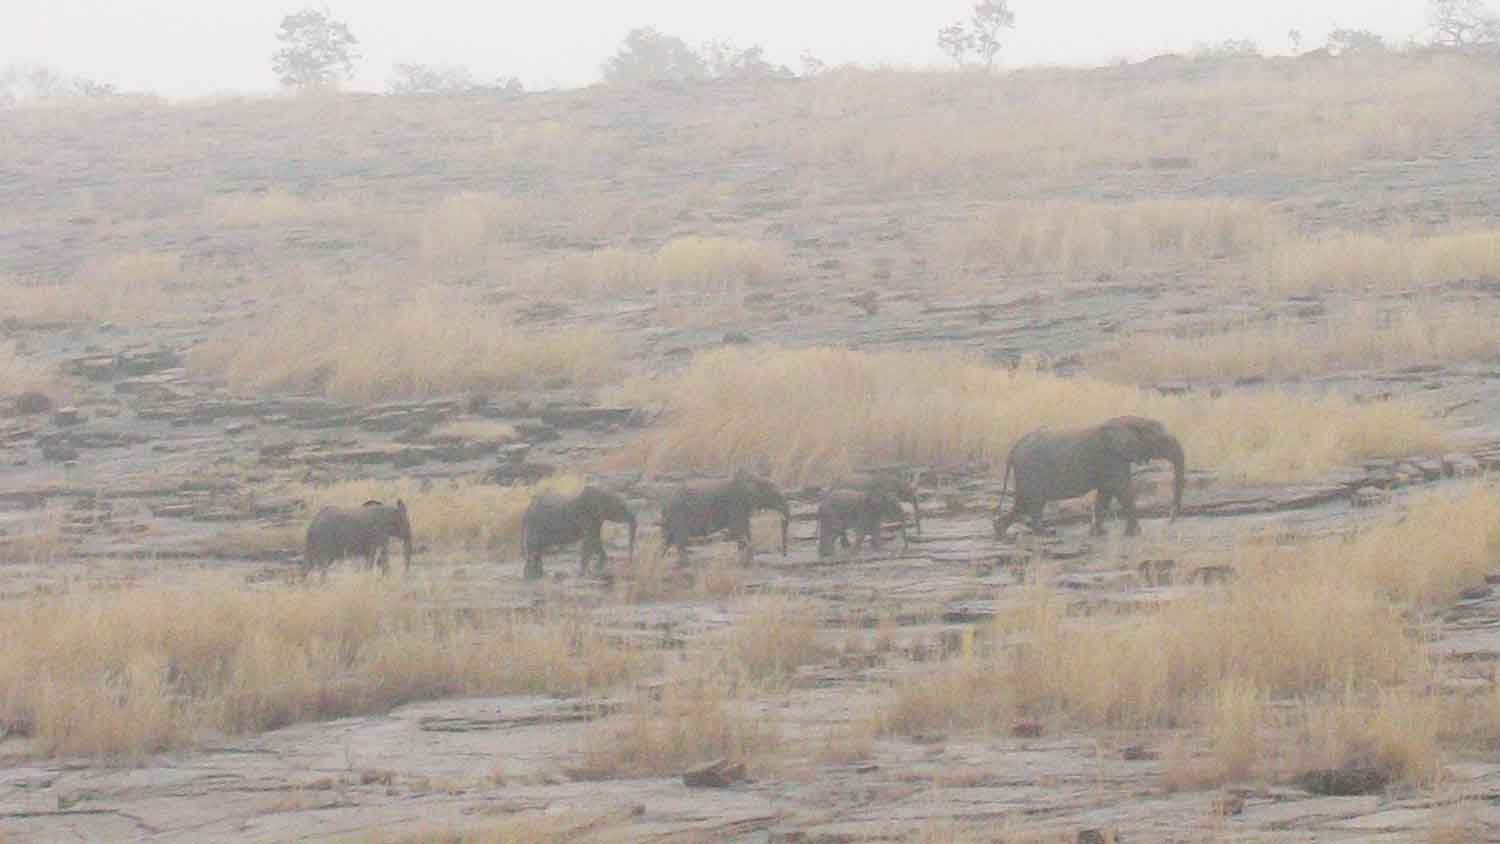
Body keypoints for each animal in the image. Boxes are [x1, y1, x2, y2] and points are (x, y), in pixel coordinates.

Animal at [663, 473, 792, 563]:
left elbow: (745, 529)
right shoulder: (736, 504)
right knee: (680, 538)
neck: (754, 478)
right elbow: (738, 529)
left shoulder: (743, 507)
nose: (784, 555)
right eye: (774, 495)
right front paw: (746, 559)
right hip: (679, 513)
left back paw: (662, 559)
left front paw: (746, 558)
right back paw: (685, 562)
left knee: (668, 539)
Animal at [990, 416, 1188, 542]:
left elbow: (1106, 494)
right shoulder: (1111, 457)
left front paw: (1099, 533)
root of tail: (1013, 449)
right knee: (1033, 502)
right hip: (1031, 469)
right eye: (1162, 440)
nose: (1169, 521)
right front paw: (1136, 533)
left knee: (1022, 503)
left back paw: (1001, 534)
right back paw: (1045, 533)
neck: (1130, 421)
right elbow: (1122, 489)